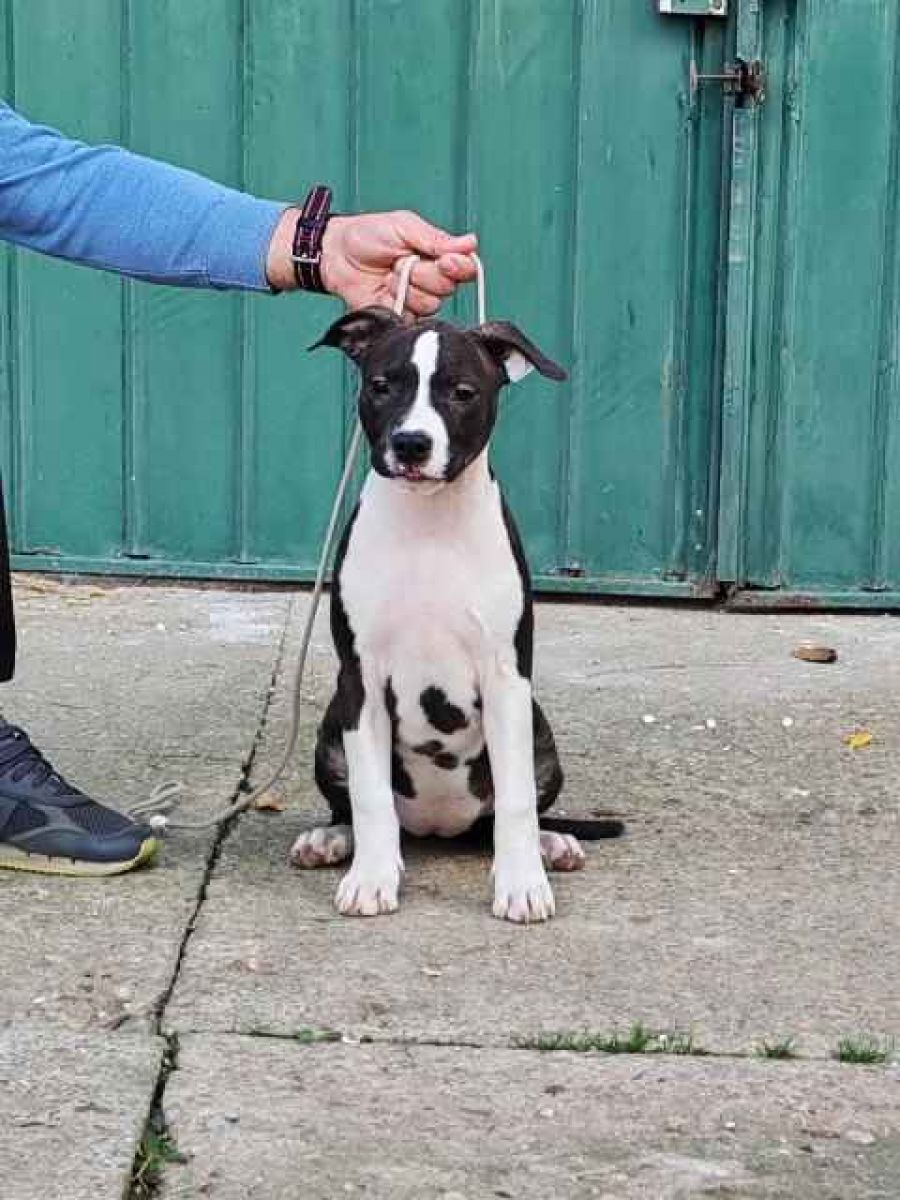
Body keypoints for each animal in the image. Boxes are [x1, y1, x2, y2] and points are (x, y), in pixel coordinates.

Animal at [290, 307, 622, 922]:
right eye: (382, 386)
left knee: (503, 815)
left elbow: (516, 801)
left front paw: (522, 883)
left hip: (540, 733)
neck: (430, 525)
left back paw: (551, 844)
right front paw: (371, 878)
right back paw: (332, 839)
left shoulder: (506, 678)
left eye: (463, 393)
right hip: (331, 730)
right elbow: (370, 798)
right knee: (357, 807)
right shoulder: (360, 680)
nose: (411, 444)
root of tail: (438, 827)